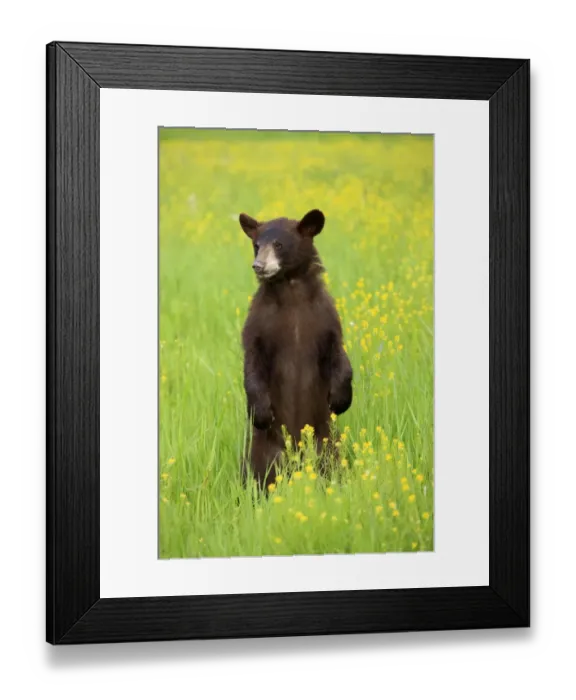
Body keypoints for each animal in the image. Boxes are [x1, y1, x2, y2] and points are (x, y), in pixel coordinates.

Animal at [239, 209, 353, 490]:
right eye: (256, 245)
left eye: (278, 244)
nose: (258, 266)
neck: (291, 290)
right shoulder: (260, 322)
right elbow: (252, 360)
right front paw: (260, 411)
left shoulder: (325, 318)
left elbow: (338, 352)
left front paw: (341, 398)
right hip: (265, 446)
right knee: (259, 471)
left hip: (326, 441)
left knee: (329, 463)